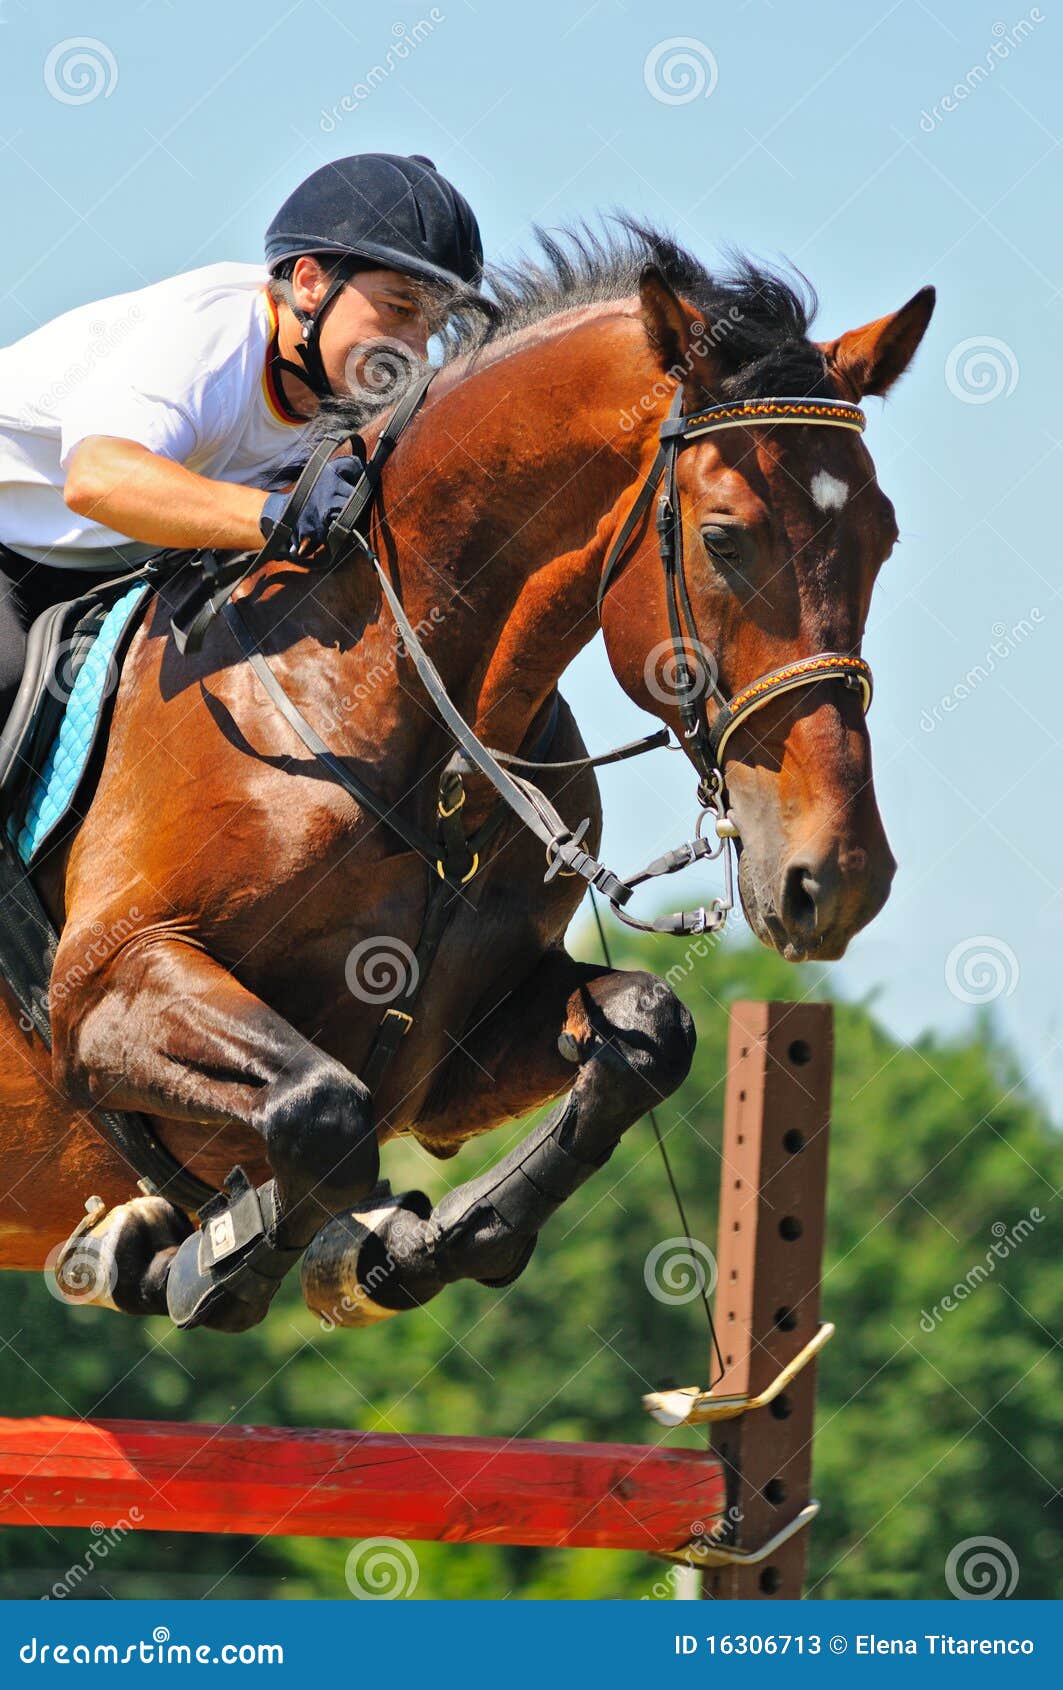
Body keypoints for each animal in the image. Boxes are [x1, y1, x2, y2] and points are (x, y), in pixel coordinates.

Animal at [0, 222, 933, 1333]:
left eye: (882, 538)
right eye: (722, 538)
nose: (837, 878)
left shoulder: (450, 1061)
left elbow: (646, 1031)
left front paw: (410, 1247)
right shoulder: (103, 991)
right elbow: (321, 1111)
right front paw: (189, 1258)